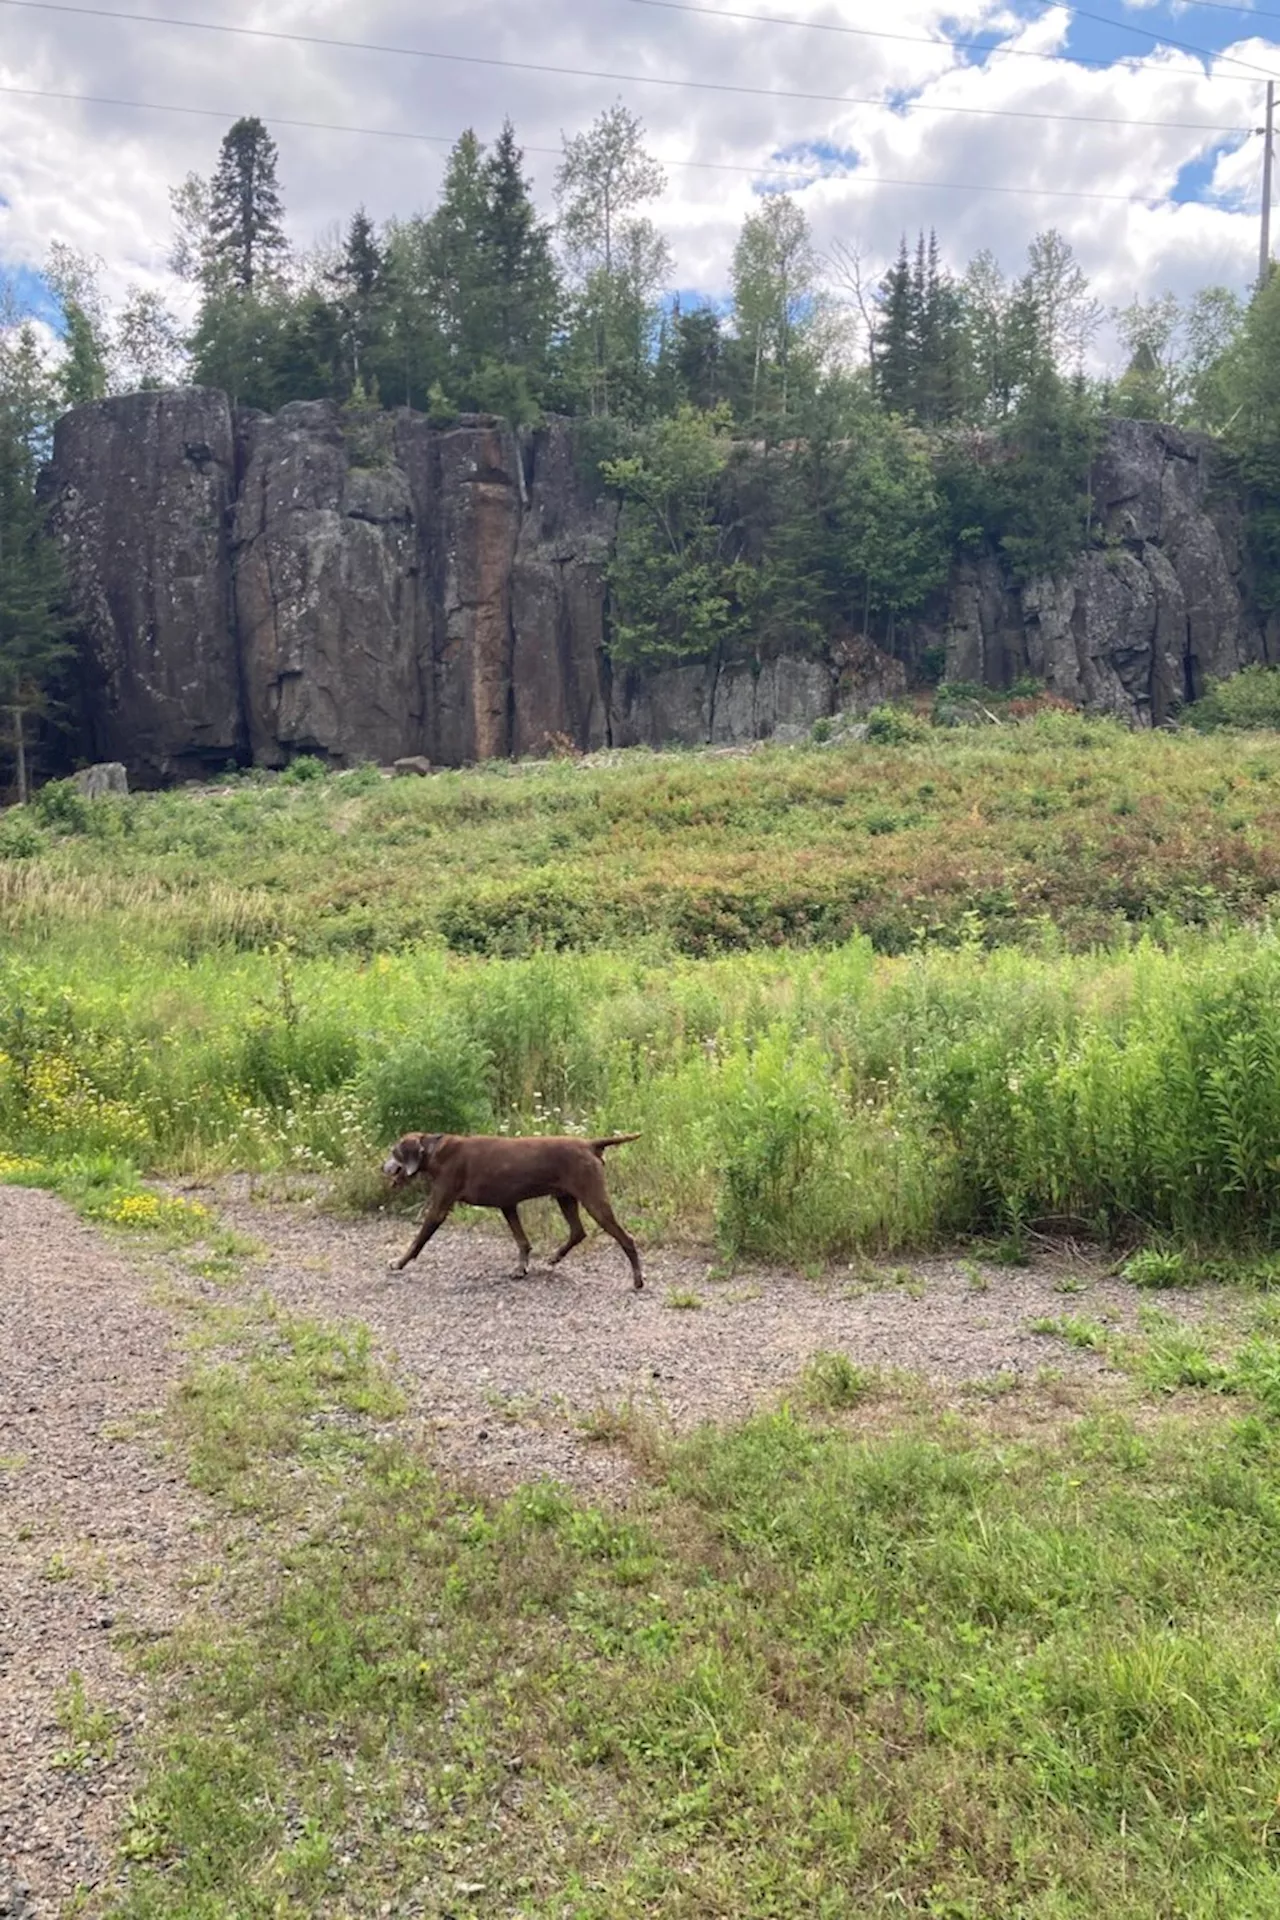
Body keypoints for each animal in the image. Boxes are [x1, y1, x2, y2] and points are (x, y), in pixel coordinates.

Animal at [378, 1128, 640, 1282]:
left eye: (394, 1151)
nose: (382, 1167)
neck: (435, 1152)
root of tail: (589, 1144)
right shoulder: (508, 1204)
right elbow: (522, 1241)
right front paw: (521, 1268)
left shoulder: (439, 1208)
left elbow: (418, 1241)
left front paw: (399, 1262)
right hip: (566, 1198)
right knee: (578, 1232)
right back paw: (555, 1257)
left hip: (593, 1200)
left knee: (626, 1239)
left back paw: (638, 1280)